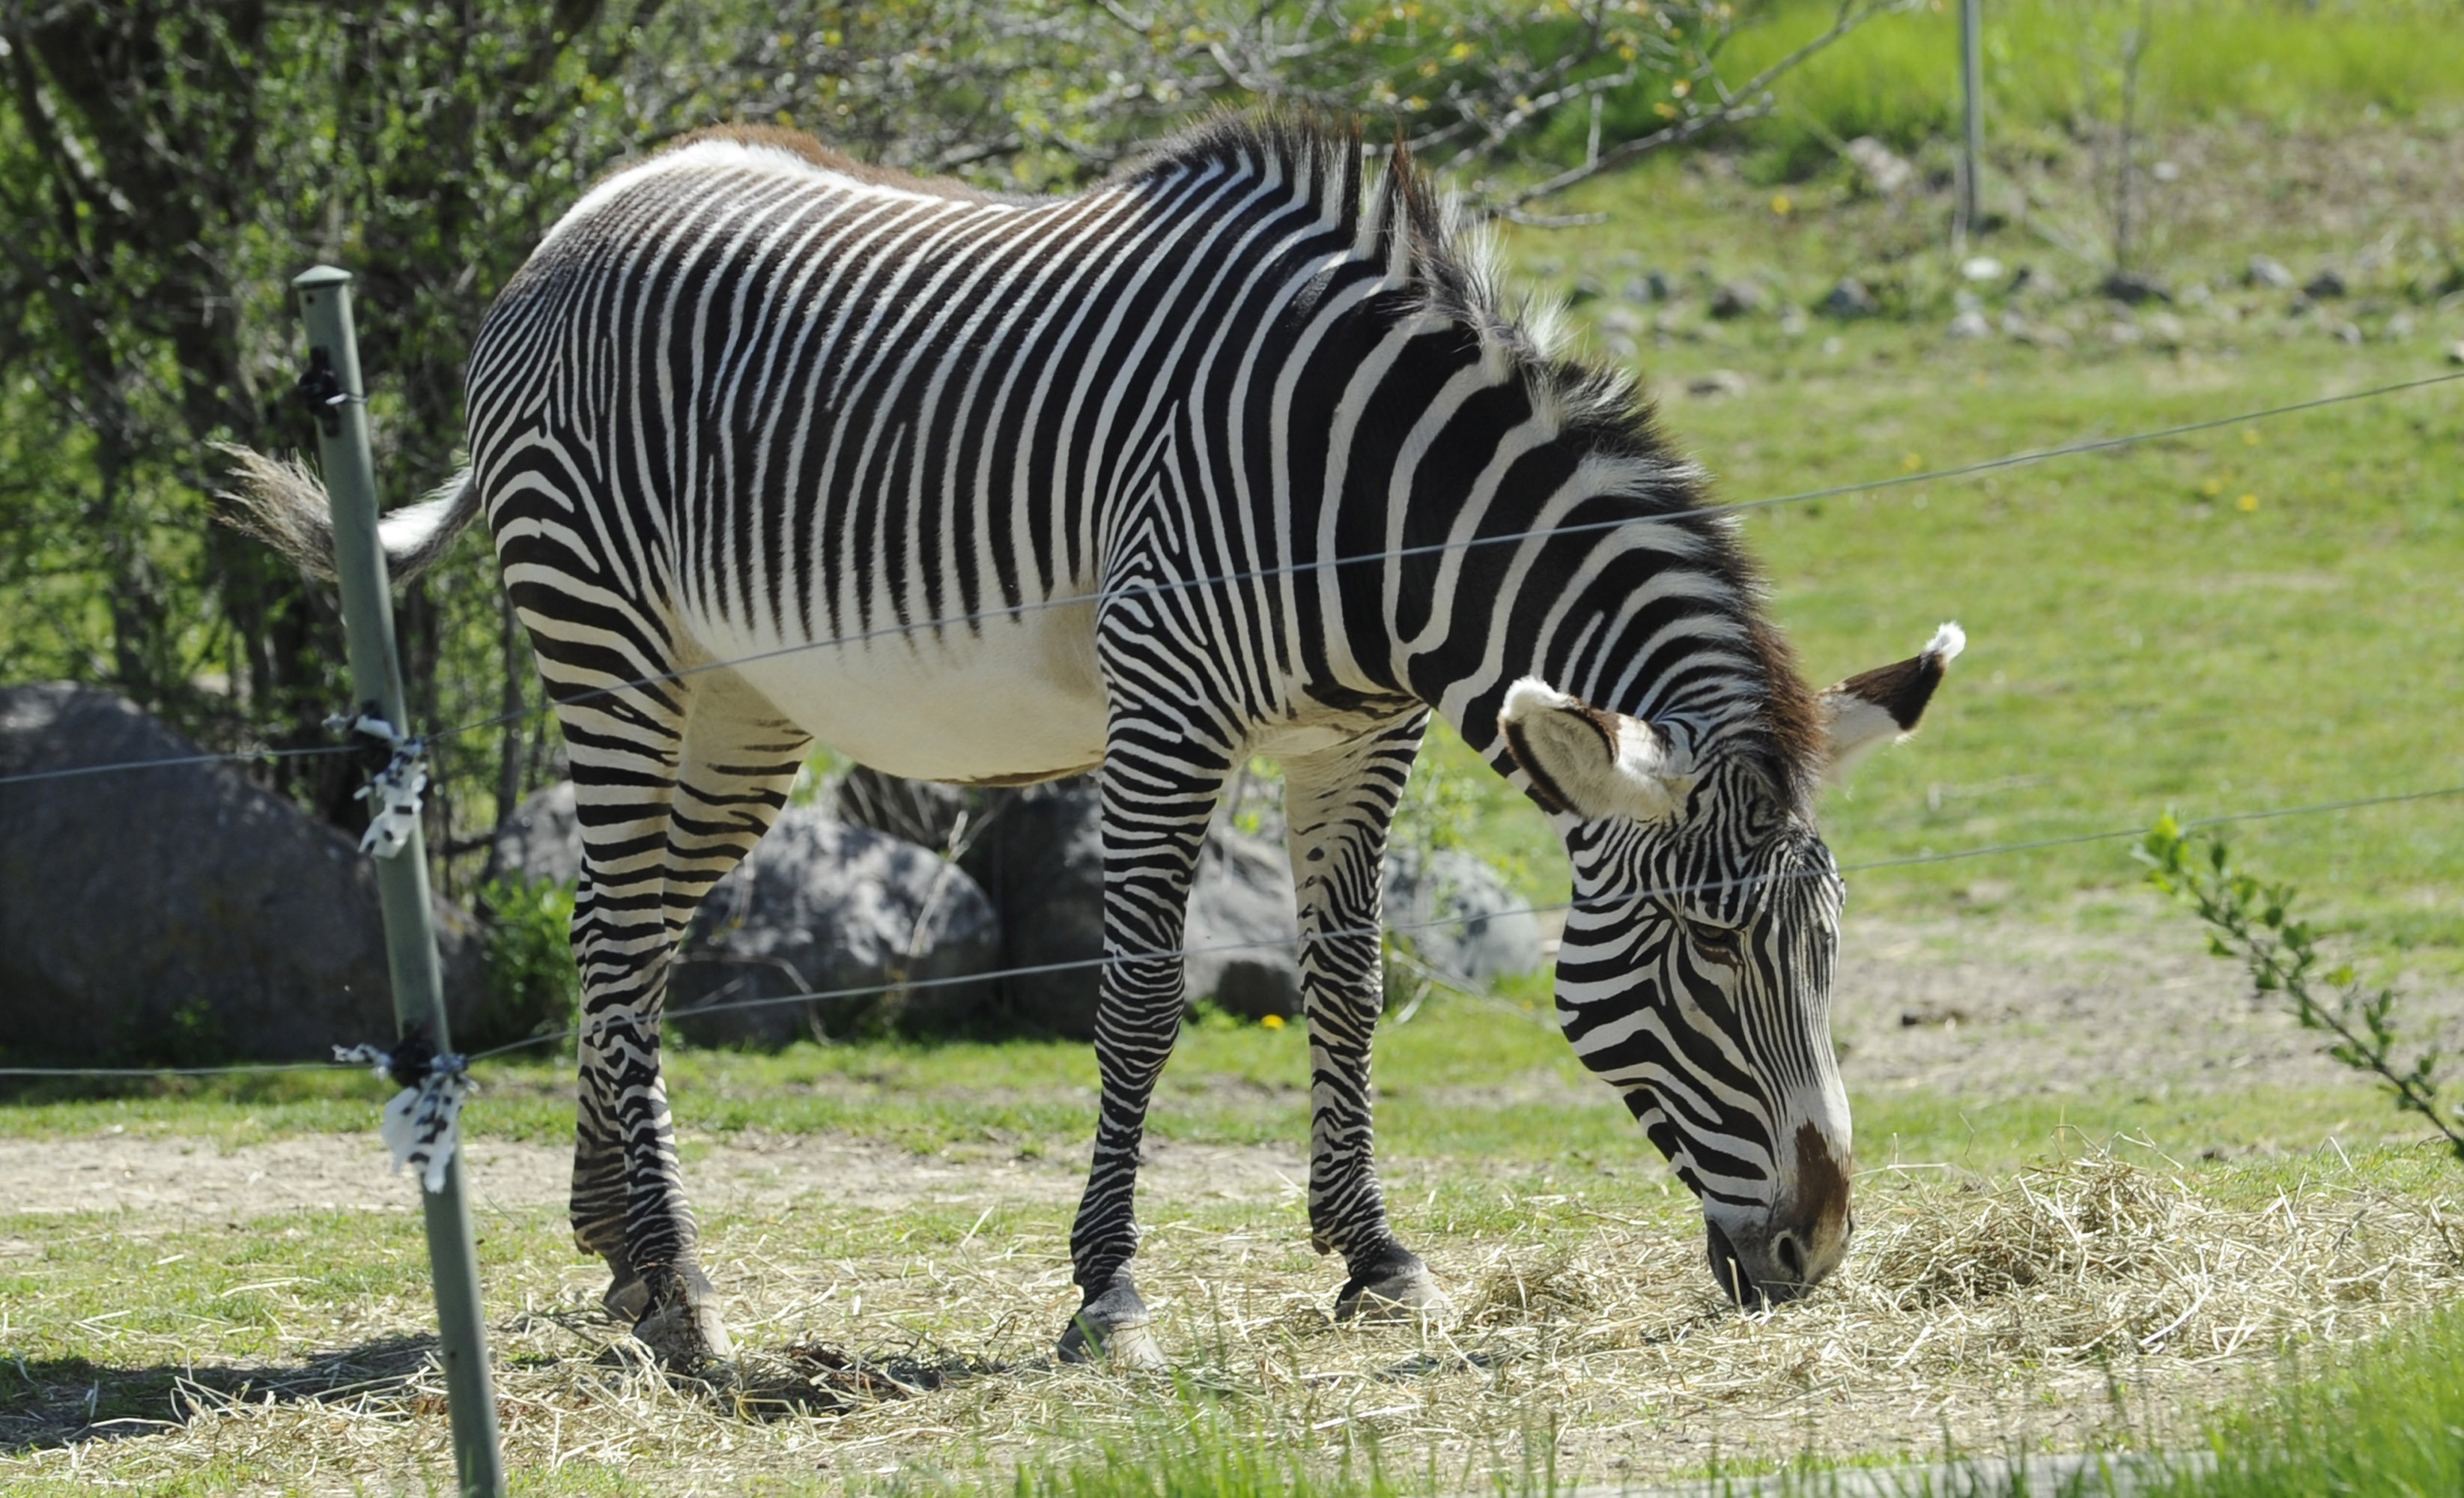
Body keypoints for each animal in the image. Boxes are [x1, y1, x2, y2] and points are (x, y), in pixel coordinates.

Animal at [231, 117, 1961, 1369]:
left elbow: (1348, 988)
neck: (1378, 514)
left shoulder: (1356, 735)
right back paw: (670, 1277)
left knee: (635, 933)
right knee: (604, 930)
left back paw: (623, 1254)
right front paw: (1109, 1288)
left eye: (1825, 944)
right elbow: (1137, 1000)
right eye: (1703, 948)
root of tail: (580, 214)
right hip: (610, 640)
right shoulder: (1168, 706)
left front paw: (1376, 1259)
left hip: (737, 705)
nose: (1816, 1252)